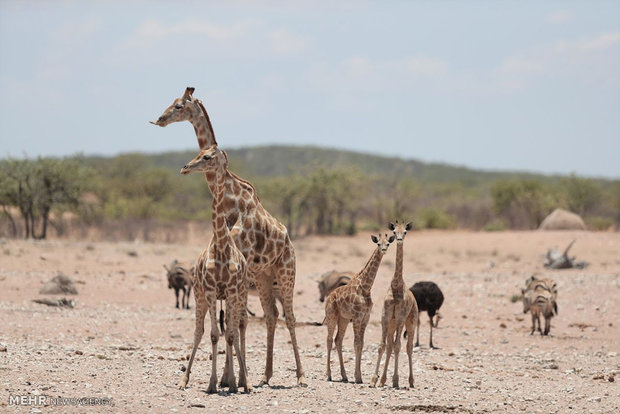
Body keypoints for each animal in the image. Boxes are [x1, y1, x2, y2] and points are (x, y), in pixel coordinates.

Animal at [177, 146, 249, 394]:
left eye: (207, 157)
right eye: (199, 153)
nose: (185, 167)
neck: (221, 246)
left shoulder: (232, 291)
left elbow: (230, 335)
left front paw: (235, 383)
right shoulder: (209, 290)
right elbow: (214, 335)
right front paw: (212, 384)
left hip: (238, 296)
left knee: (238, 330)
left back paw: (242, 381)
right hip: (200, 295)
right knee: (199, 331)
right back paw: (185, 380)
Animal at [324, 233, 392, 384]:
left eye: (388, 243)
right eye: (378, 243)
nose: (384, 250)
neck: (365, 287)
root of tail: (328, 297)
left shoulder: (365, 317)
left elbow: (361, 344)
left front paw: (358, 376)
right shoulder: (356, 317)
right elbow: (356, 344)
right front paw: (357, 376)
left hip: (343, 319)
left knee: (338, 340)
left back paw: (344, 376)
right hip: (332, 316)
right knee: (329, 340)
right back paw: (328, 375)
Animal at [370, 223, 418, 388]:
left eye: (405, 232)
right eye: (394, 231)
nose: (399, 240)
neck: (396, 286)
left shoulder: (401, 319)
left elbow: (398, 346)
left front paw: (396, 380)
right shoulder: (385, 318)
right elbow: (382, 346)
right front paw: (374, 380)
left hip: (411, 323)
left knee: (408, 347)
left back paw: (411, 381)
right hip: (392, 324)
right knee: (390, 346)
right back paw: (383, 380)